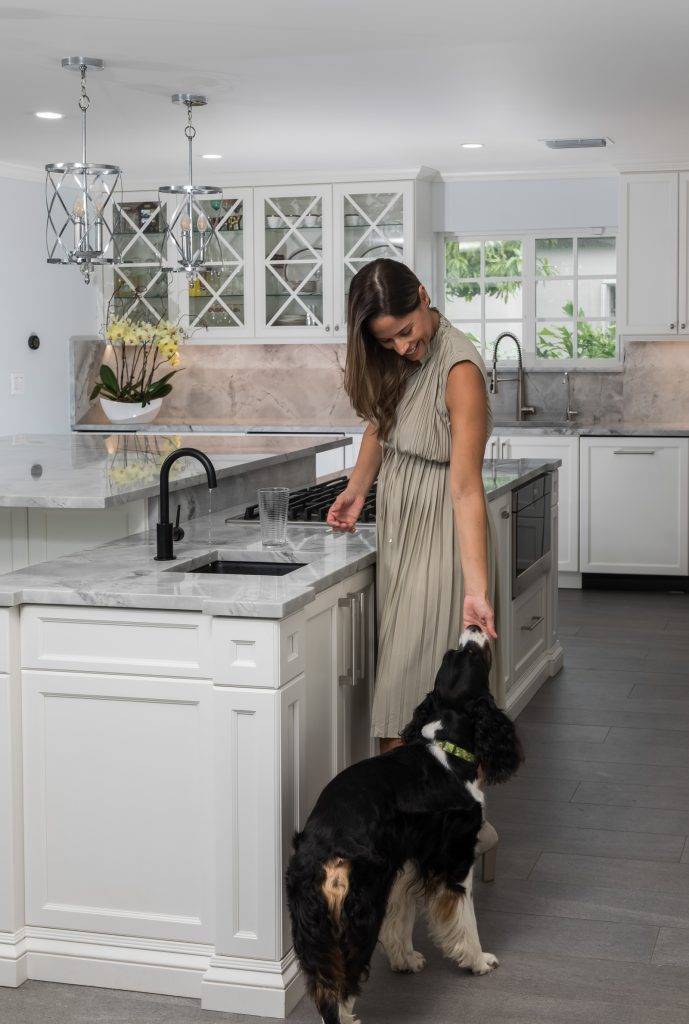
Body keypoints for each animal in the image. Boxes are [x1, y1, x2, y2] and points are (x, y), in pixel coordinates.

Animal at [284, 622, 522, 1024]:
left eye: (451, 655)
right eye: (470, 655)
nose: (474, 625)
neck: (446, 749)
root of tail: (323, 852)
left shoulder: (406, 858)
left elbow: (402, 914)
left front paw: (405, 959)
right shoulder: (455, 857)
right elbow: (464, 917)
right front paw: (478, 961)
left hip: (312, 921)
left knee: (324, 983)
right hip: (360, 913)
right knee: (342, 988)